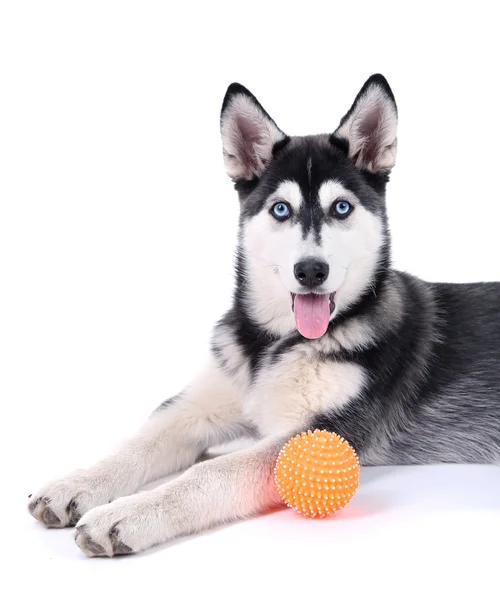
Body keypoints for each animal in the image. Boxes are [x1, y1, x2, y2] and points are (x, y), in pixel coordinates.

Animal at [27, 76, 500, 556]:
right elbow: (139, 442)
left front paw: (128, 514)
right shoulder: (198, 404)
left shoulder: (321, 432)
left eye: (341, 208)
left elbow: (208, 472)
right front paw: (78, 482)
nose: (311, 271)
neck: (272, 345)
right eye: (280, 209)